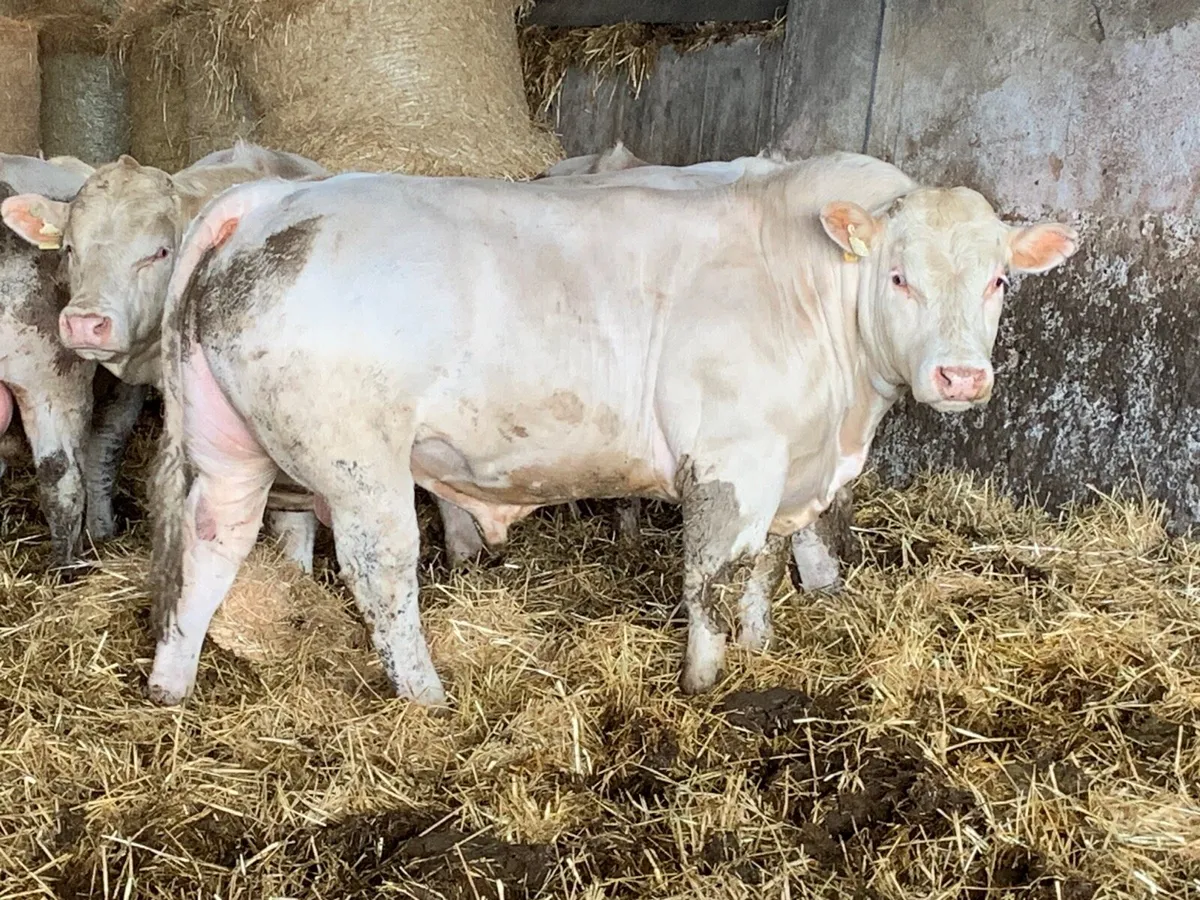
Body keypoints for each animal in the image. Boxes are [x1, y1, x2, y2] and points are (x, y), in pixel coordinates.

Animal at [144, 151, 1078, 707]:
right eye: (898, 276)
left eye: (998, 280)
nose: (961, 377)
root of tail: (277, 197)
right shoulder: (730, 462)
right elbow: (711, 575)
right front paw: (704, 681)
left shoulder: (791, 473)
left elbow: (762, 570)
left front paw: (763, 647)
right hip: (356, 460)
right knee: (381, 573)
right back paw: (427, 696)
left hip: (228, 446)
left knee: (211, 545)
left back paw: (171, 684)